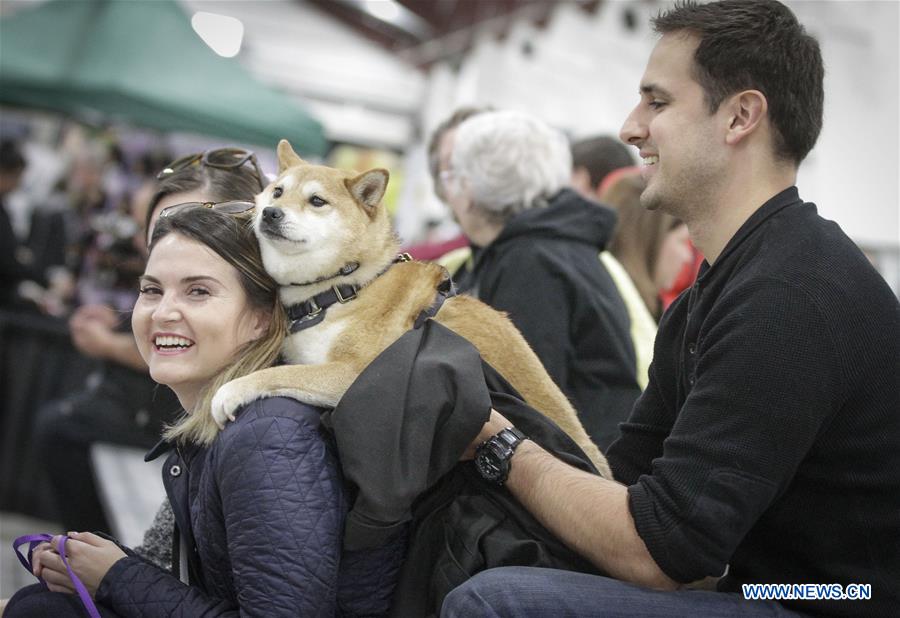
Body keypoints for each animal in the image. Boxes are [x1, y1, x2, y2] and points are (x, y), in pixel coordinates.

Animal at [209, 141, 612, 476]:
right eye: (277, 191)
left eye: (317, 201)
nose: (271, 213)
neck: (343, 287)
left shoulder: (355, 374)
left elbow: (281, 374)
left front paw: (231, 391)